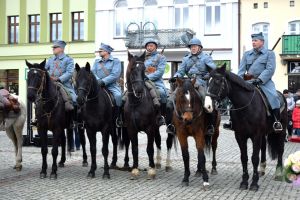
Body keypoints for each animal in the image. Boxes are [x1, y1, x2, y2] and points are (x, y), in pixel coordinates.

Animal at [123, 50, 176, 179]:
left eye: (143, 69)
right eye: (132, 68)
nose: (139, 90)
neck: (136, 103)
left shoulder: (149, 128)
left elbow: (149, 148)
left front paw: (151, 170)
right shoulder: (131, 129)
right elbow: (135, 148)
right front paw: (135, 169)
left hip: (169, 126)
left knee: (168, 143)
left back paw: (167, 164)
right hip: (156, 127)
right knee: (158, 141)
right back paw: (158, 162)